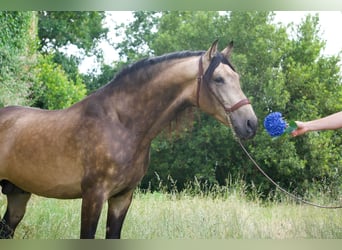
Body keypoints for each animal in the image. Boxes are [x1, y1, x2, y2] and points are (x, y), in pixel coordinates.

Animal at [0, 39, 256, 238]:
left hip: (17, 193)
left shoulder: (122, 198)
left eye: (237, 77)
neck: (122, 124)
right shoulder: (93, 196)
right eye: (218, 79)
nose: (250, 124)